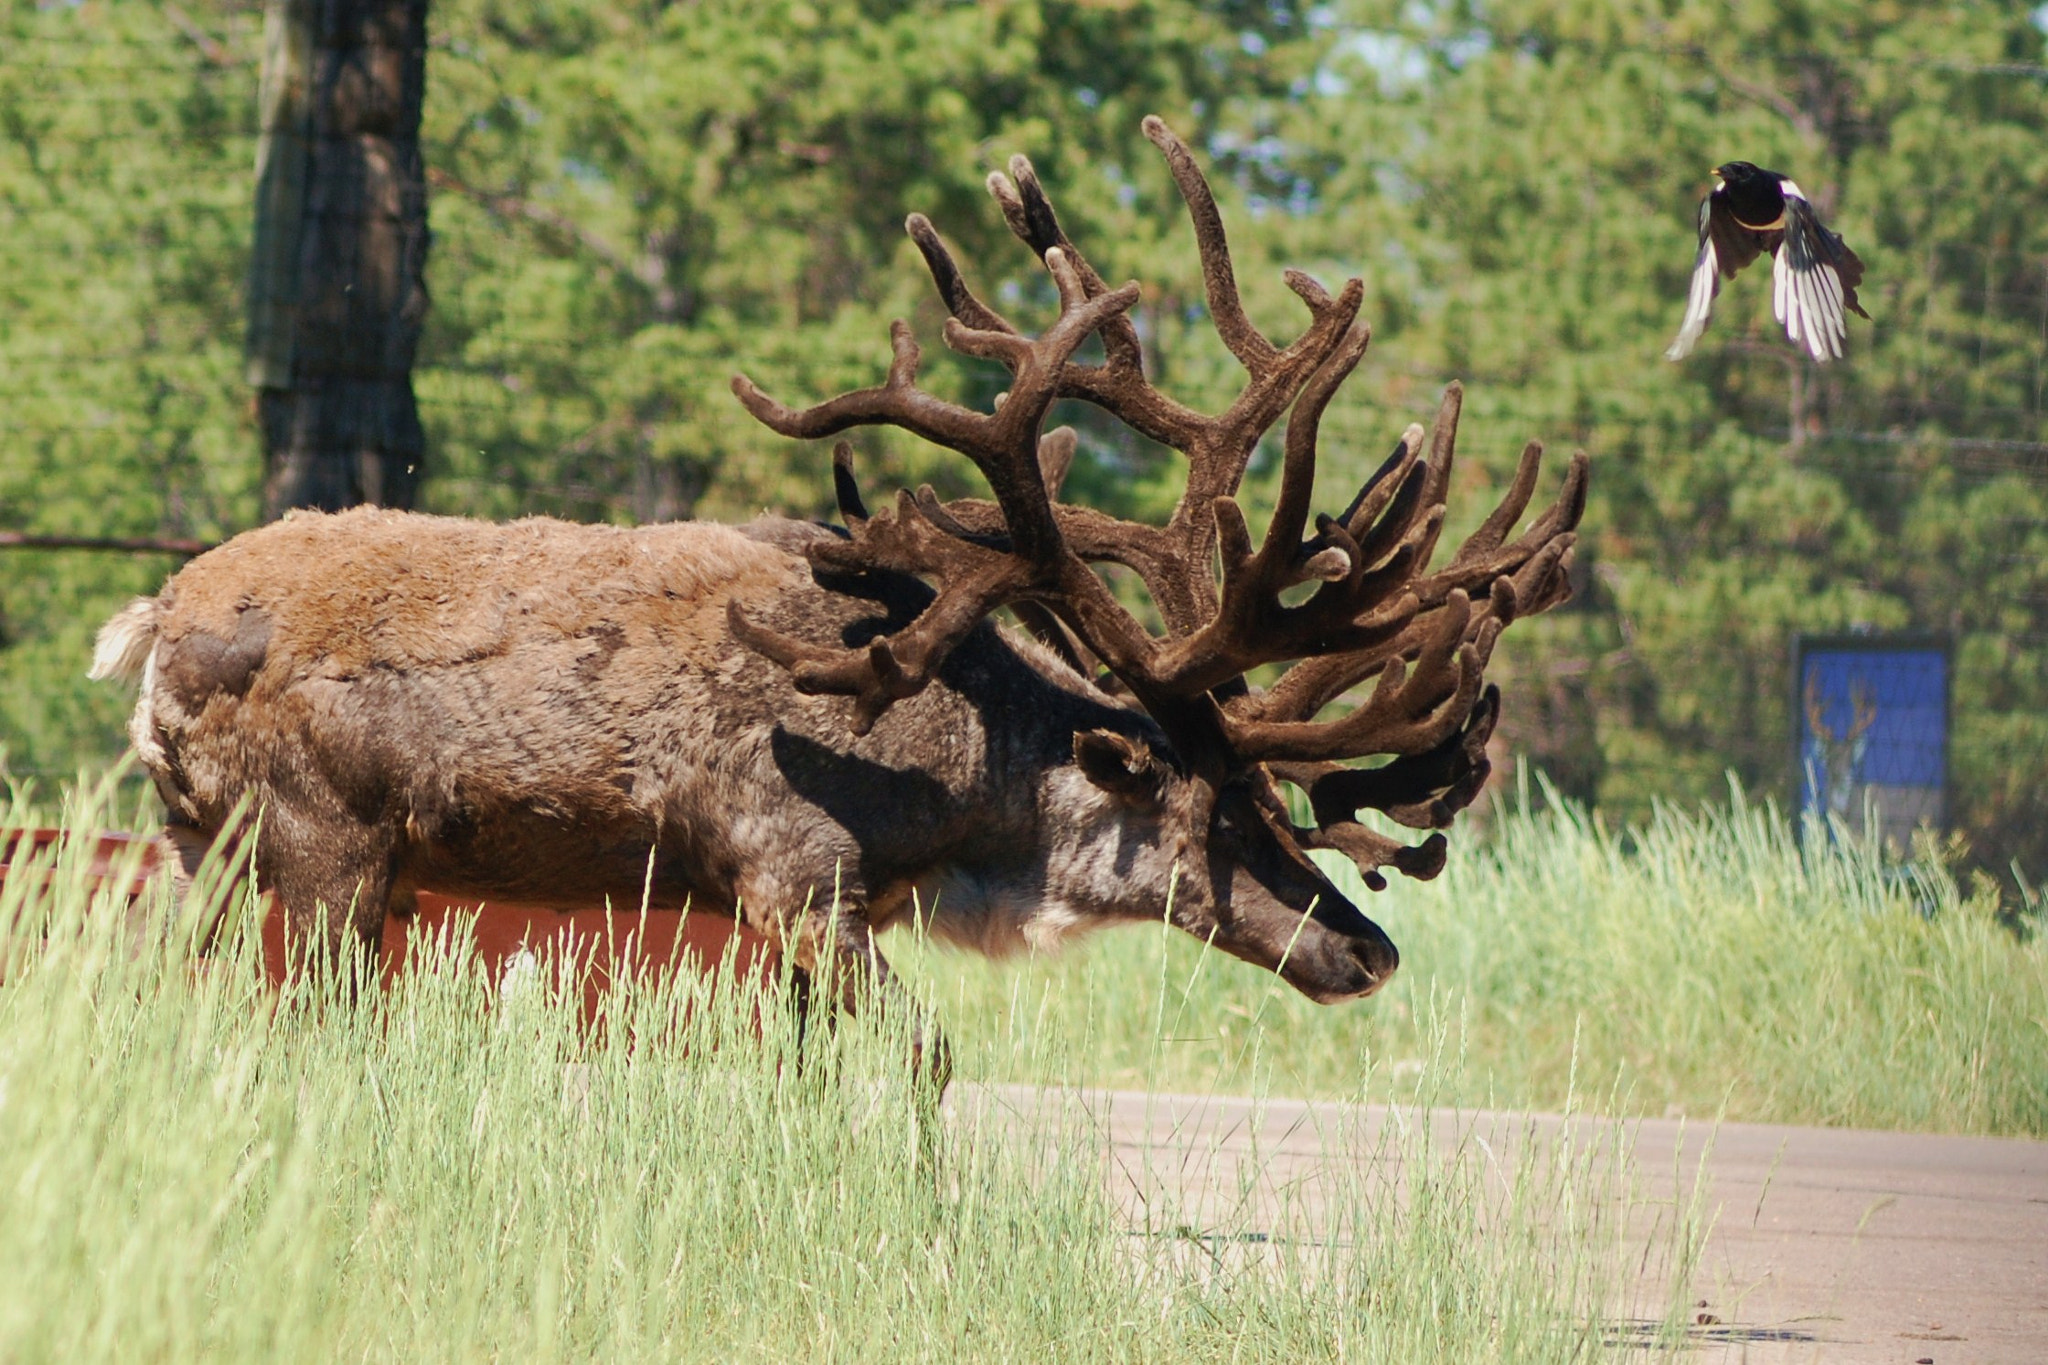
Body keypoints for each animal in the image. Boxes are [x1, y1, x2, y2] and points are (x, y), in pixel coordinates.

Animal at [90, 118, 1584, 1087]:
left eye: (1281, 809)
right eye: (1211, 814)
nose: (1368, 951)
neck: (967, 788)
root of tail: (151, 625)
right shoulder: (793, 872)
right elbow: (925, 1057)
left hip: (201, 841)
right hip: (325, 842)